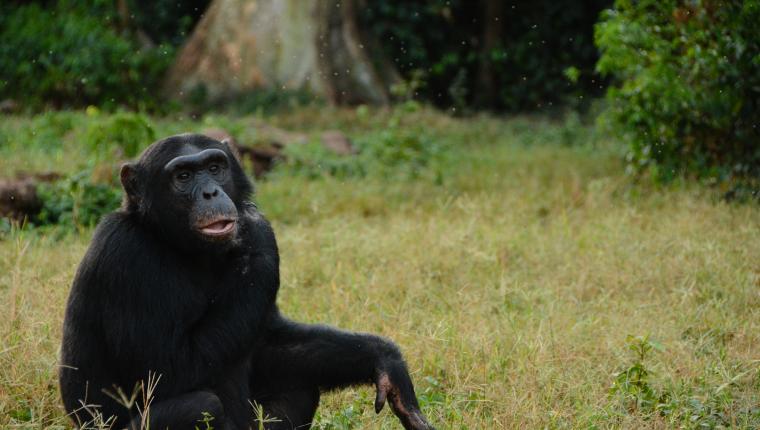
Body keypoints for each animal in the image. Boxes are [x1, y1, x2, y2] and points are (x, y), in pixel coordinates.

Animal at [59, 134, 434, 430]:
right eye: (183, 175)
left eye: (214, 168)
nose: (211, 192)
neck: (176, 243)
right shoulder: (125, 256)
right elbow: (166, 369)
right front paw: (254, 232)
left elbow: (267, 342)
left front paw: (385, 361)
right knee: (200, 406)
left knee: (300, 387)